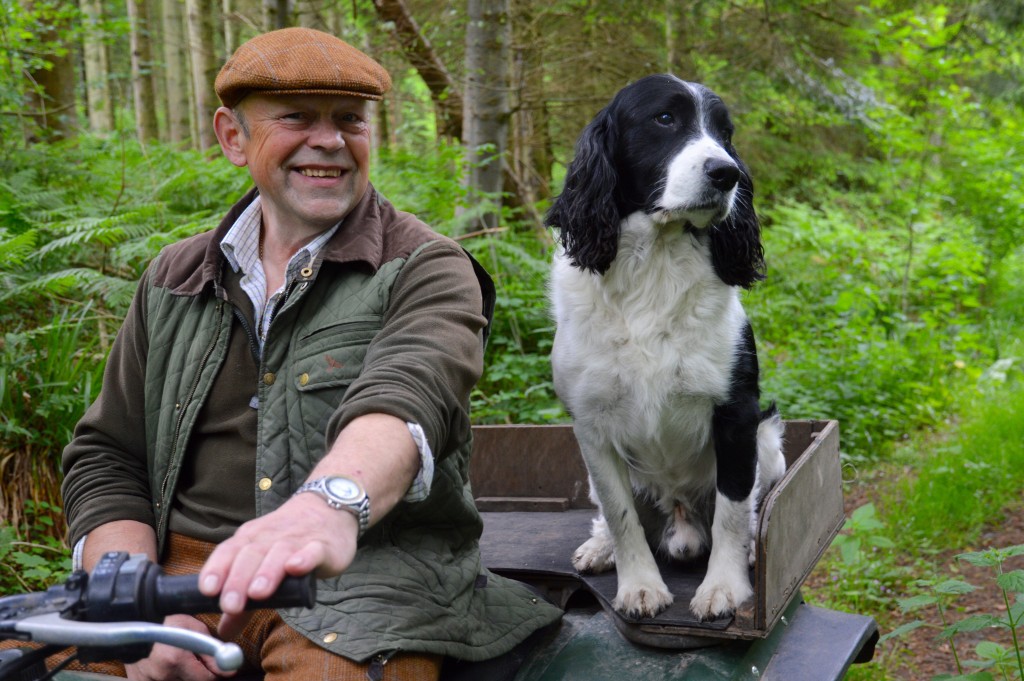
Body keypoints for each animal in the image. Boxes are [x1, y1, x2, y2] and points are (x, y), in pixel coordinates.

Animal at [548, 75, 786, 622]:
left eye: (724, 132)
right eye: (664, 119)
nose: (727, 172)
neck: (653, 267)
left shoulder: (737, 416)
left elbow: (733, 511)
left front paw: (724, 588)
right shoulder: (592, 426)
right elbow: (620, 515)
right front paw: (639, 587)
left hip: (769, 444)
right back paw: (599, 548)